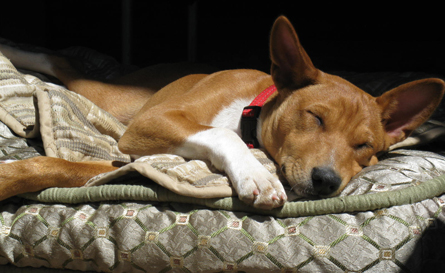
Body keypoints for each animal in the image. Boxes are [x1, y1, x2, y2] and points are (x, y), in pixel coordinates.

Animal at [0, 16, 442, 208]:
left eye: (364, 146)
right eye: (315, 117)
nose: (326, 181)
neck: (251, 110)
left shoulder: (133, 155)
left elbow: (57, 167)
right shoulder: (148, 124)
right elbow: (221, 133)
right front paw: (257, 175)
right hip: (119, 104)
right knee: (61, 62)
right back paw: (11, 50)